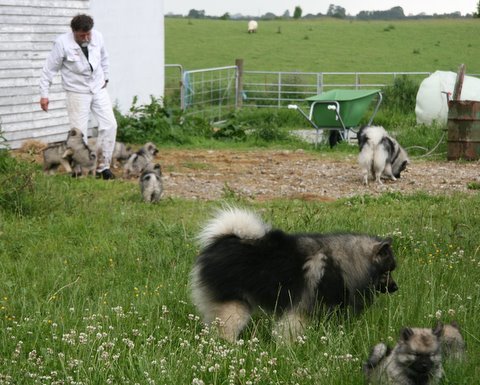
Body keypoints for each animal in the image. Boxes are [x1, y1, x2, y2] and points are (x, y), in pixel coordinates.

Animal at [190, 207, 398, 342]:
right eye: (388, 271)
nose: (396, 288)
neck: (346, 261)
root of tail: (223, 240)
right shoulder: (301, 307)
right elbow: (291, 330)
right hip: (236, 305)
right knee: (226, 328)